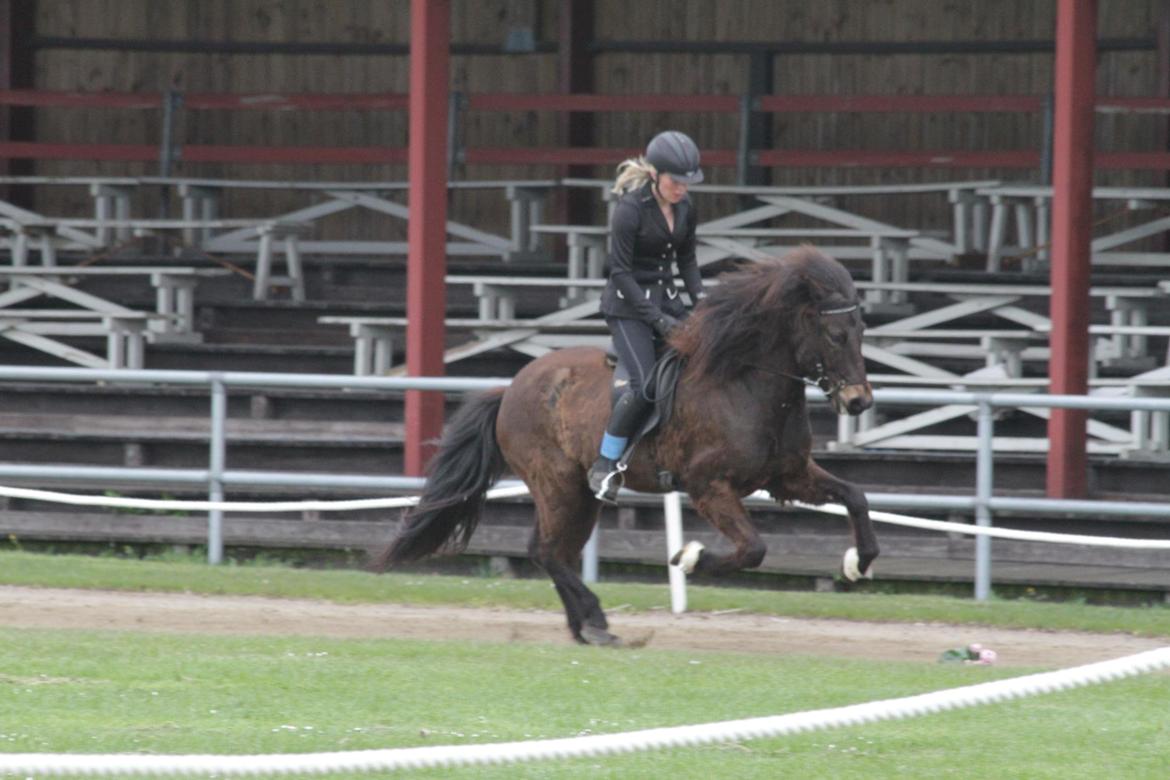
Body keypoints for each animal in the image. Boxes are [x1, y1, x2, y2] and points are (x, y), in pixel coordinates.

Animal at [372, 249, 879, 645]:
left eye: (862, 332)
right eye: (835, 335)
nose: (859, 402)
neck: (746, 382)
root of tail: (511, 389)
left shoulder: (787, 476)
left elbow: (856, 496)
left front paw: (858, 562)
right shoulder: (709, 485)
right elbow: (752, 548)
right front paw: (689, 558)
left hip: (578, 494)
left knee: (550, 550)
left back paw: (586, 626)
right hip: (557, 483)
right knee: (548, 551)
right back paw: (596, 623)